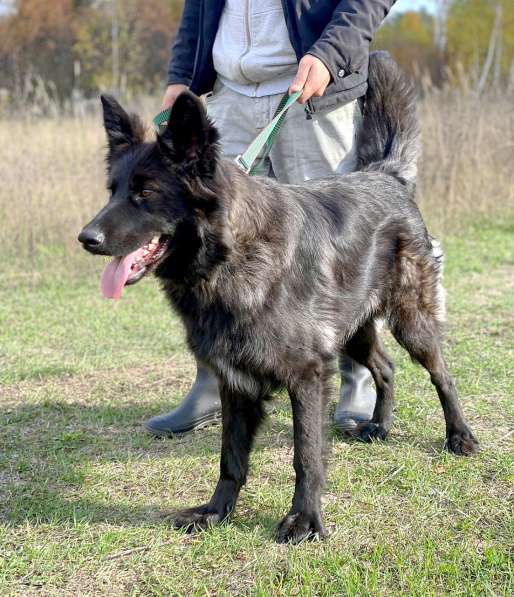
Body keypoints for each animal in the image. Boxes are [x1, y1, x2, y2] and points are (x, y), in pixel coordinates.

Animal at [77, 53, 476, 544]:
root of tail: (385, 176)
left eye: (145, 193)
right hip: (354, 332)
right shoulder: (234, 382)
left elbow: (306, 455)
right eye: (113, 191)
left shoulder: (307, 376)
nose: (86, 238)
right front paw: (217, 512)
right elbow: (230, 458)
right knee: (385, 367)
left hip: (411, 321)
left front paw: (304, 519)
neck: (230, 259)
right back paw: (380, 426)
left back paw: (459, 436)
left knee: (442, 375)